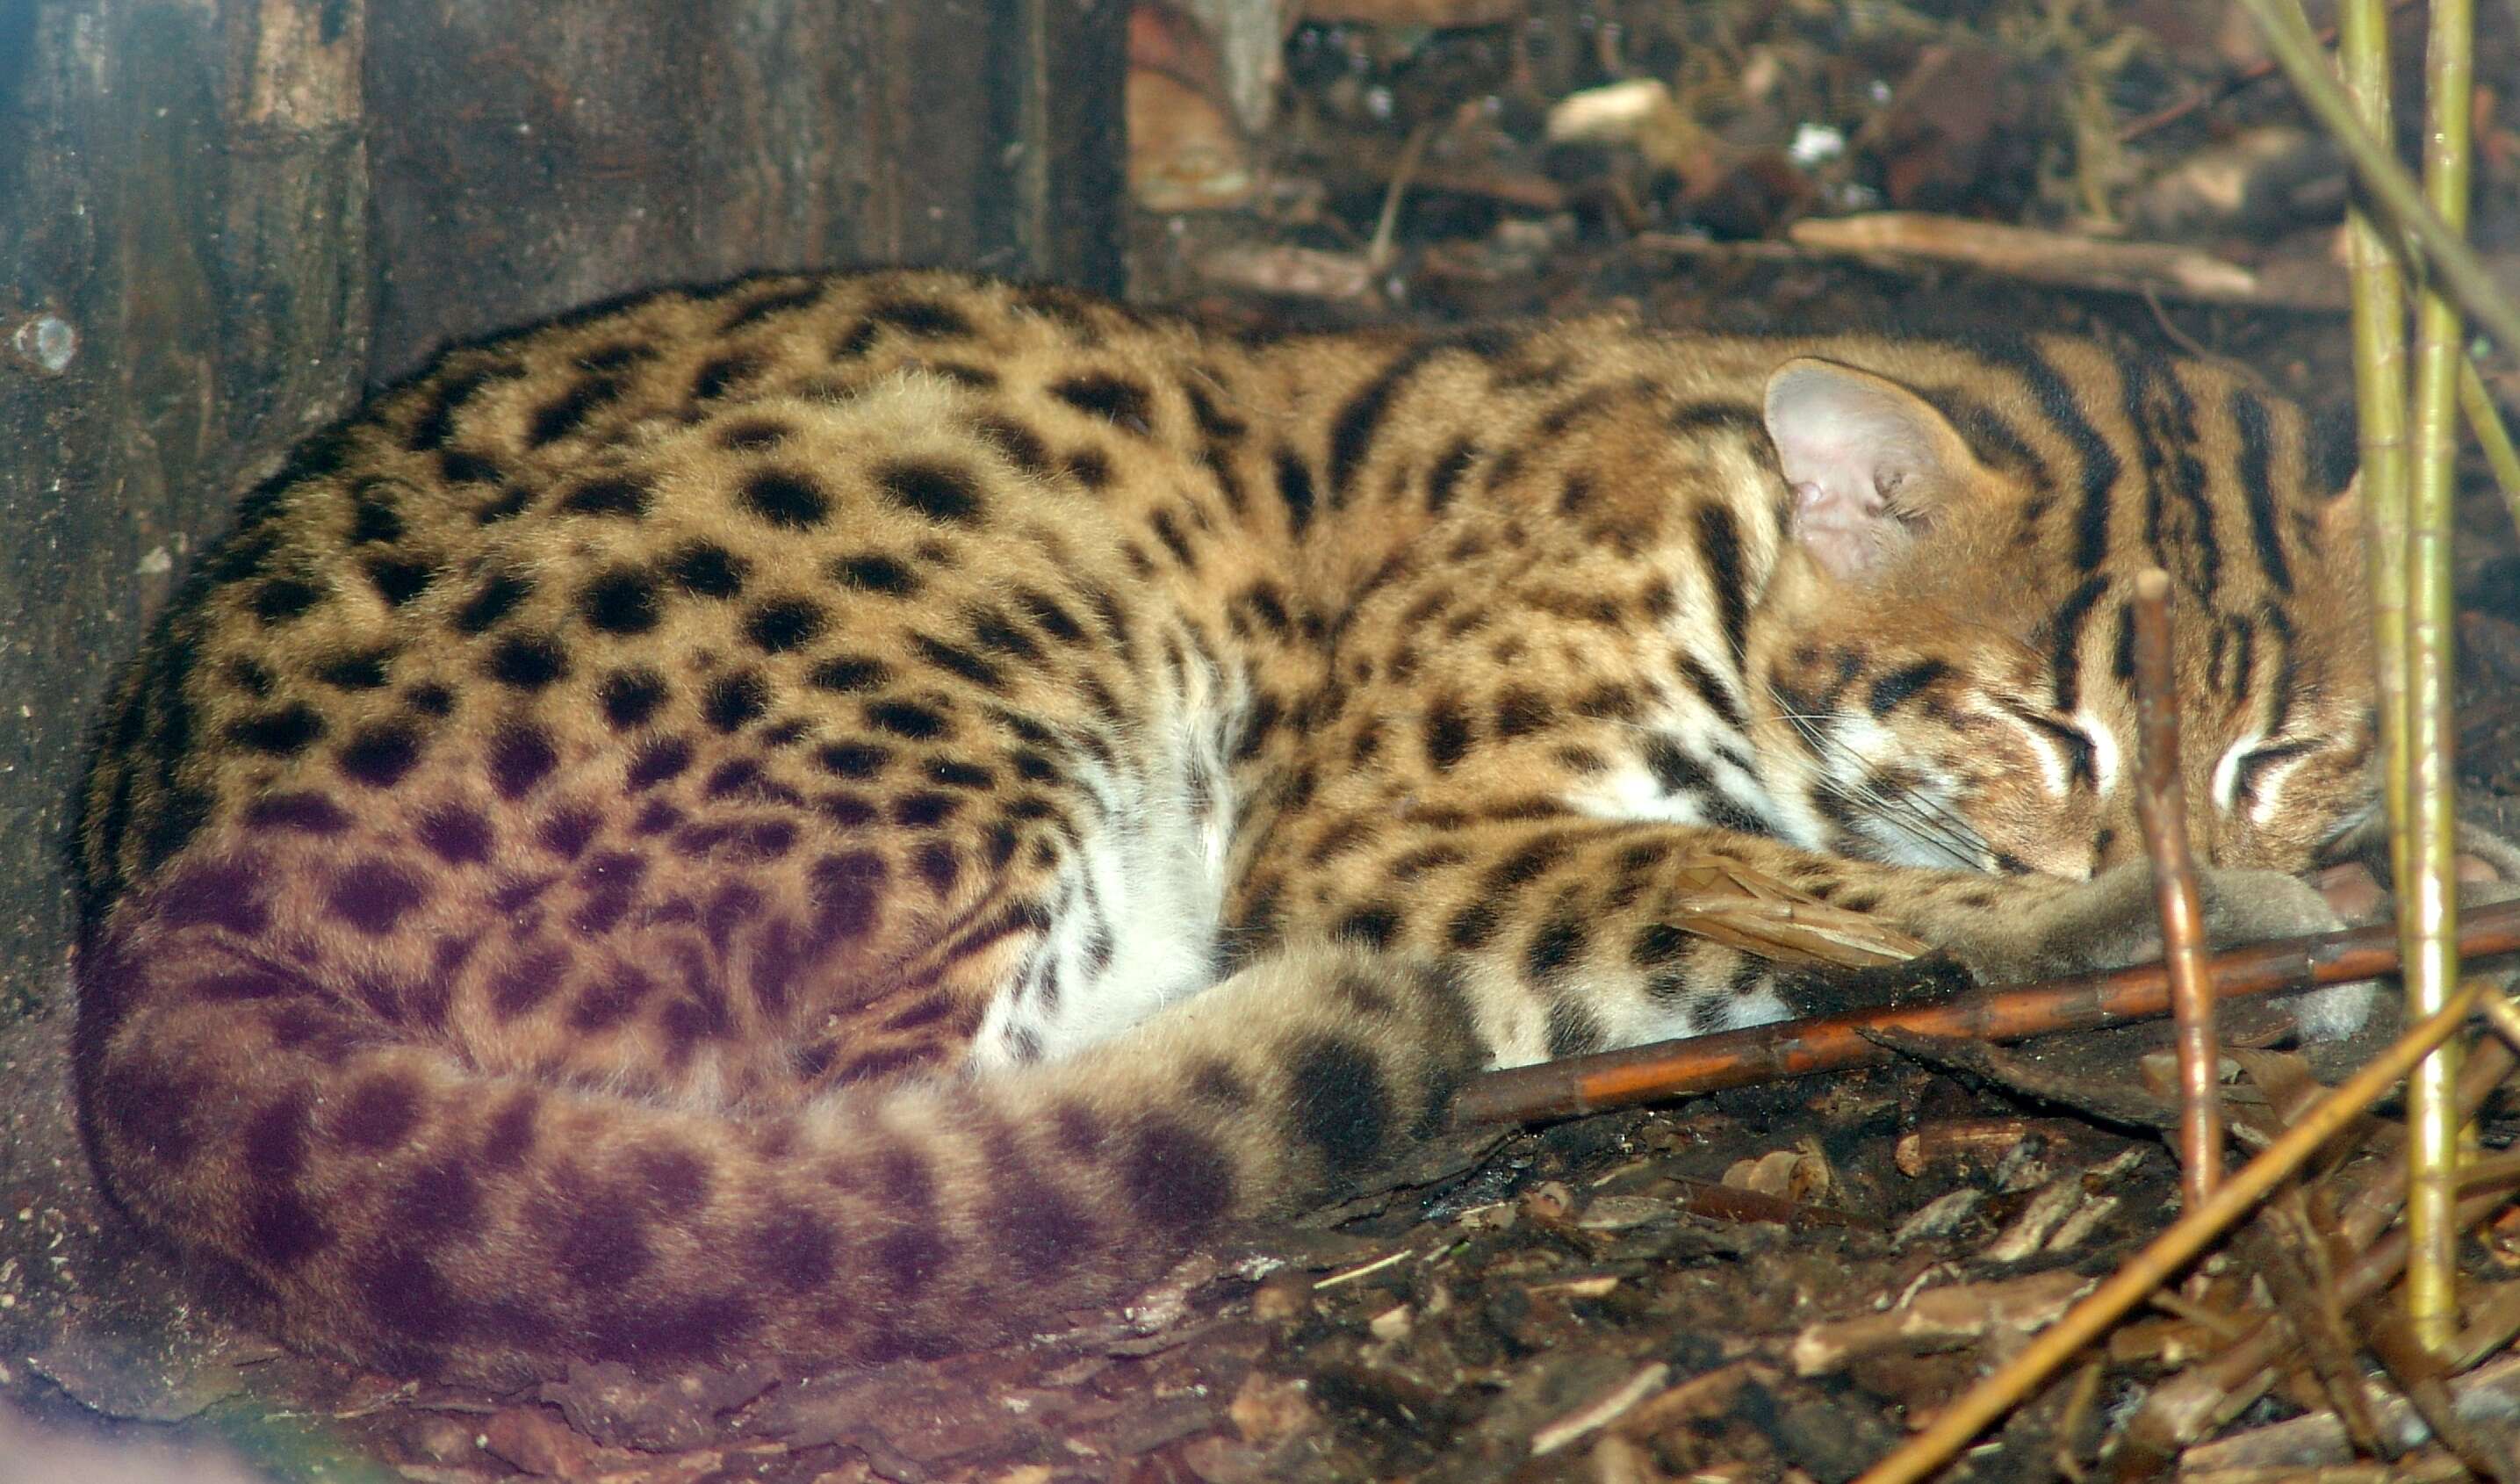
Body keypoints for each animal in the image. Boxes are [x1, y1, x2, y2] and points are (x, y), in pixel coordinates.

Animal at [68, 265, 2489, 1380]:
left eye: (2285, 738)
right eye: (2030, 725)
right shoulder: (1386, 838)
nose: (2192, 842)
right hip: (990, 644)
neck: (1722, 505)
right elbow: (1763, 874)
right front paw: (2140, 931)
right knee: (831, 1131)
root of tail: (139, 907)